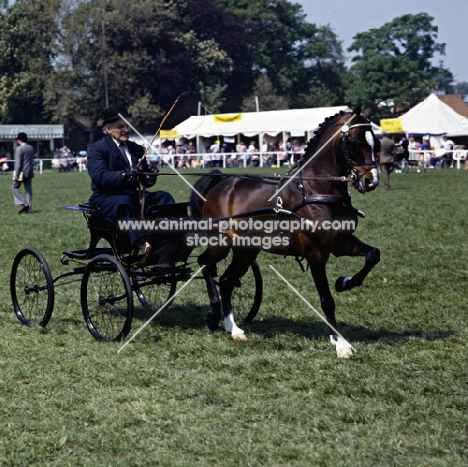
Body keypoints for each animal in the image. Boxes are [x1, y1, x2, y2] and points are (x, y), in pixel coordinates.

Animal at [189, 108, 380, 358]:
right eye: (355, 144)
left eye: (376, 142)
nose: (371, 181)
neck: (316, 190)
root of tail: (222, 182)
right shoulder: (316, 253)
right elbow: (327, 299)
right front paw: (341, 344)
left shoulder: (341, 243)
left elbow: (373, 255)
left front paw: (344, 282)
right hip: (220, 242)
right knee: (205, 263)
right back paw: (213, 315)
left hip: (246, 250)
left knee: (227, 280)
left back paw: (234, 328)